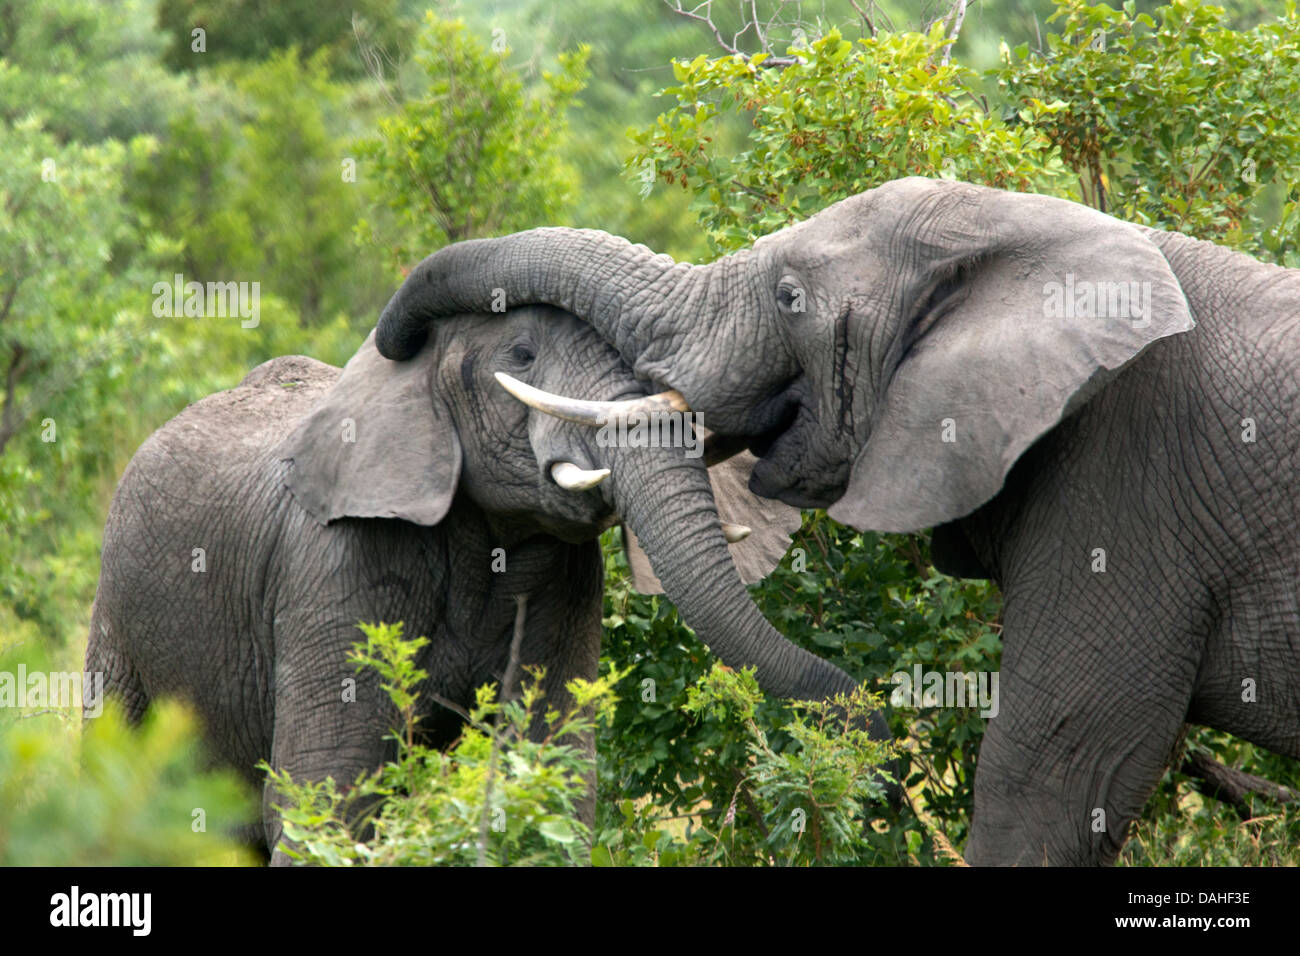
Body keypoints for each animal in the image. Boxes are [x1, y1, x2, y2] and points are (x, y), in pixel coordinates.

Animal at [83, 308, 883, 868]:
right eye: (522, 356)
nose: (870, 721)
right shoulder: (336, 563)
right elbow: (326, 799)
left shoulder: (566, 578)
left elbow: (554, 777)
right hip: (115, 609)